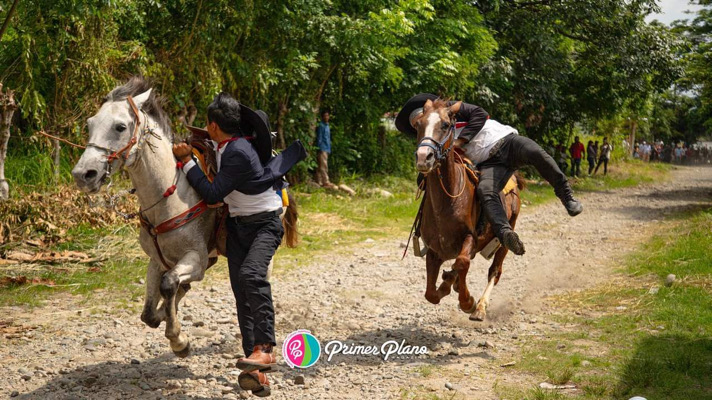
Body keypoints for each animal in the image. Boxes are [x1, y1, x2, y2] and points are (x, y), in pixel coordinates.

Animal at [73, 77, 300, 356]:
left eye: (120, 127)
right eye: (90, 124)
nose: (84, 175)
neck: (169, 196)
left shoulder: (196, 259)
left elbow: (169, 284)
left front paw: (178, 339)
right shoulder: (157, 260)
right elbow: (149, 311)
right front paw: (165, 321)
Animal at [412, 100, 524, 322]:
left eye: (445, 125)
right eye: (418, 124)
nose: (423, 157)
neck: (447, 202)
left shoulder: (471, 238)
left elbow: (462, 262)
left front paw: (468, 302)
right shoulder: (434, 250)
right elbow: (430, 294)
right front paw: (446, 286)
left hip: (507, 235)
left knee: (495, 271)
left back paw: (480, 307)